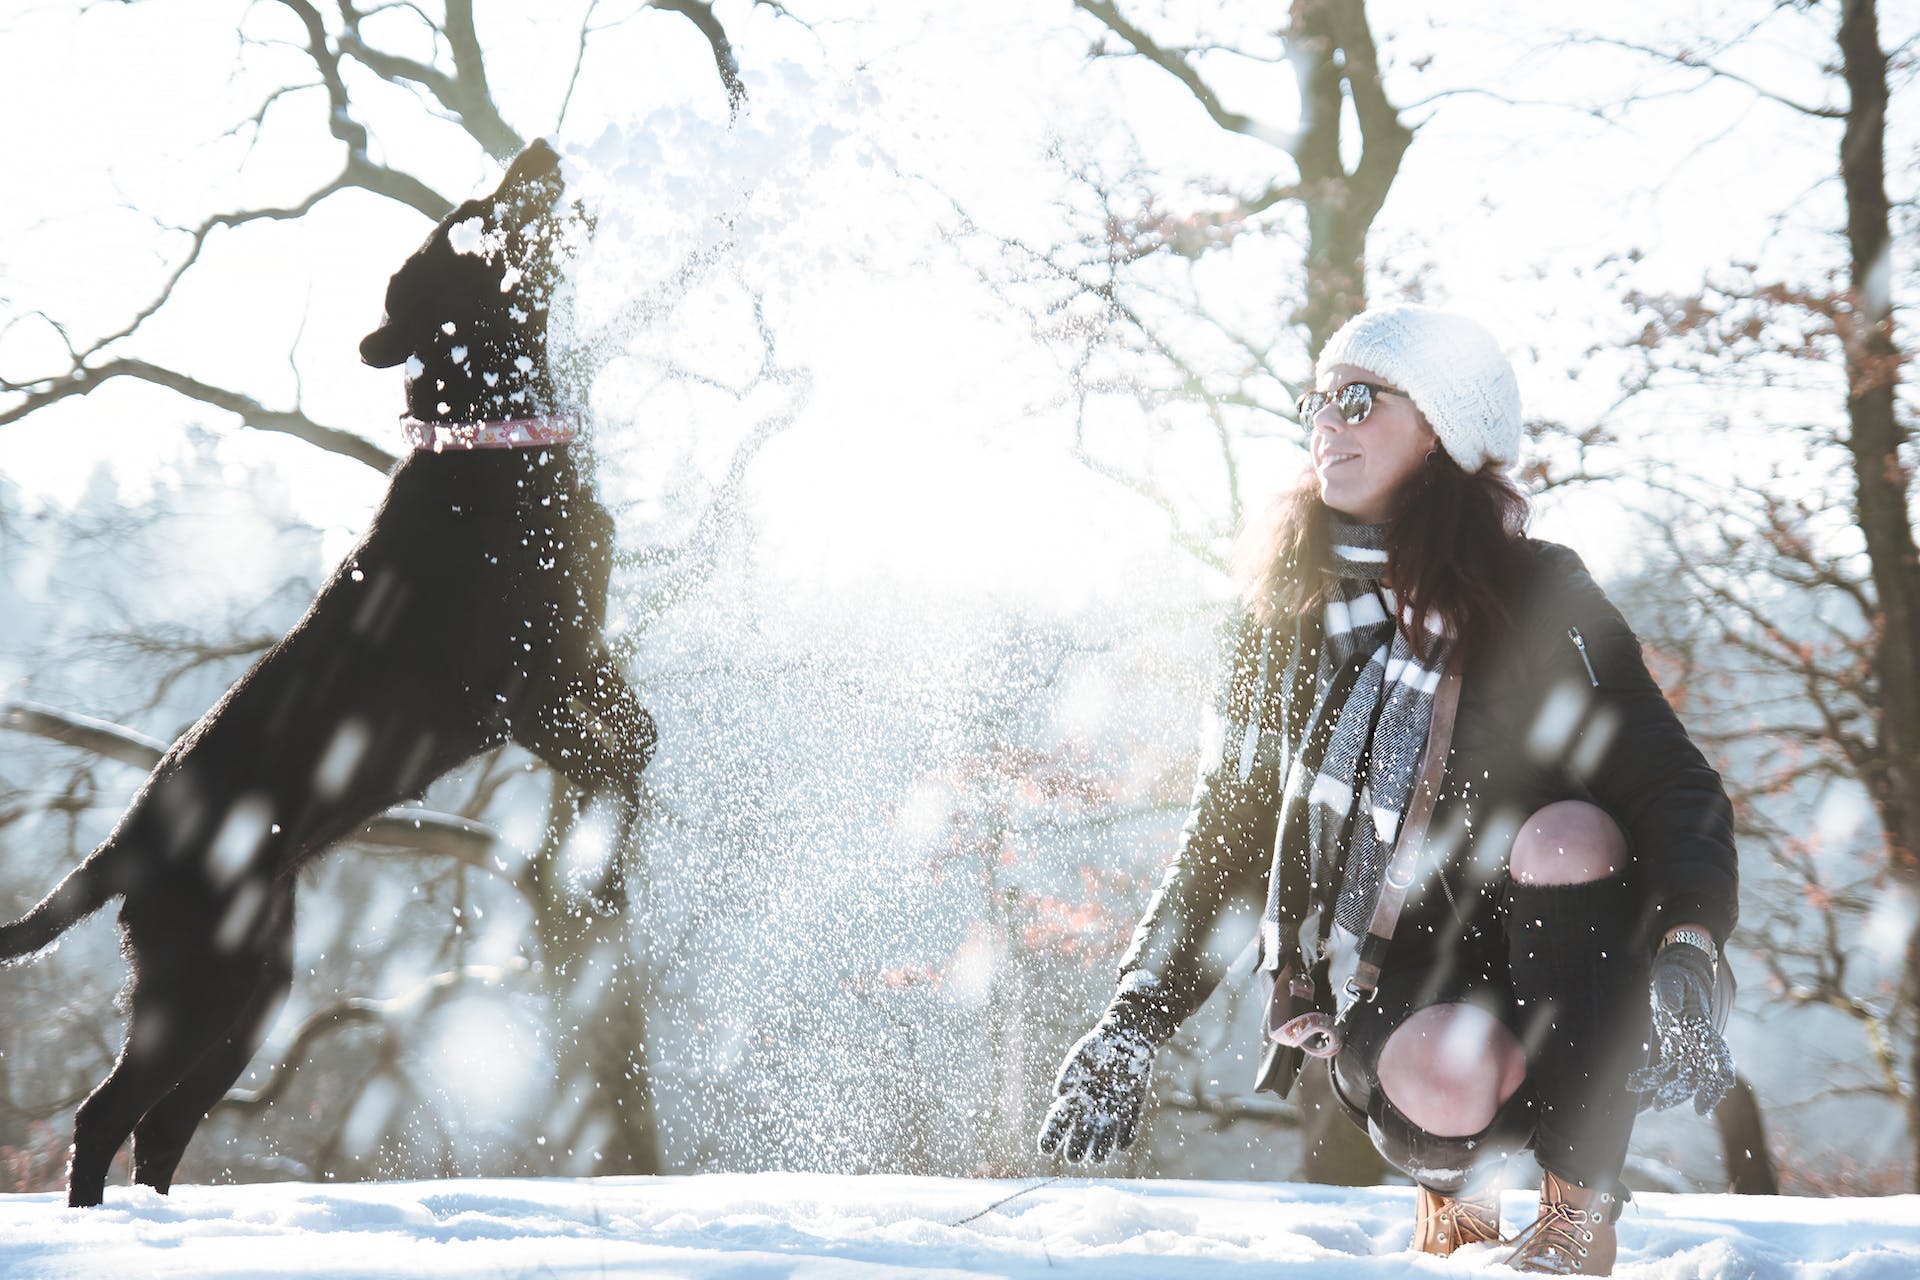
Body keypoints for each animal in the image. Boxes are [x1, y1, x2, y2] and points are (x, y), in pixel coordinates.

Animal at [0, 140, 656, 1212]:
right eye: (469, 222)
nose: (538, 150)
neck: (490, 441)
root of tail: (124, 841)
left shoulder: (581, 658)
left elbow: (641, 740)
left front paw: (612, 862)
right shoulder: (525, 690)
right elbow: (621, 762)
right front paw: (603, 870)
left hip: (256, 989)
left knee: (160, 1128)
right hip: (203, 985)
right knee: (105, 1117)